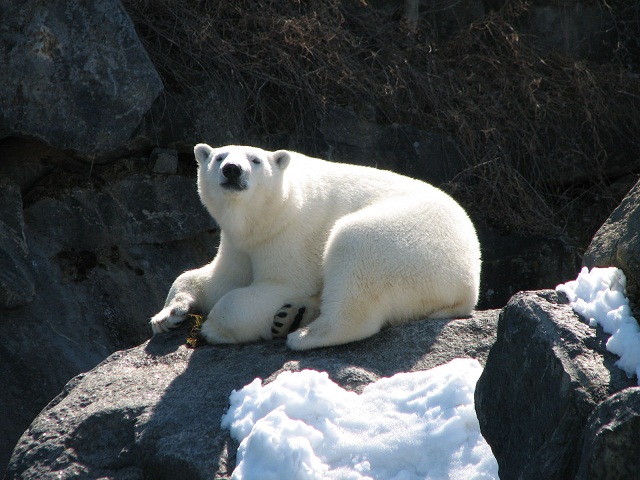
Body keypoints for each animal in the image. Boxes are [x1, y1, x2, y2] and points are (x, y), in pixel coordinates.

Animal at [150, 142, 480, 348]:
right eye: (218, 157)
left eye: (255, 160)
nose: (232, 169)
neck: (271, 214)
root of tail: (469, 284)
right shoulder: (238, 242)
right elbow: (219, 278)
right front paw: (167, 315)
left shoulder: (291, 235)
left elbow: (280, 284)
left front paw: (213, 328)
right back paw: (290, 316)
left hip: (412, 246)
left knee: (354, 249)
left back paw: (304, 335)